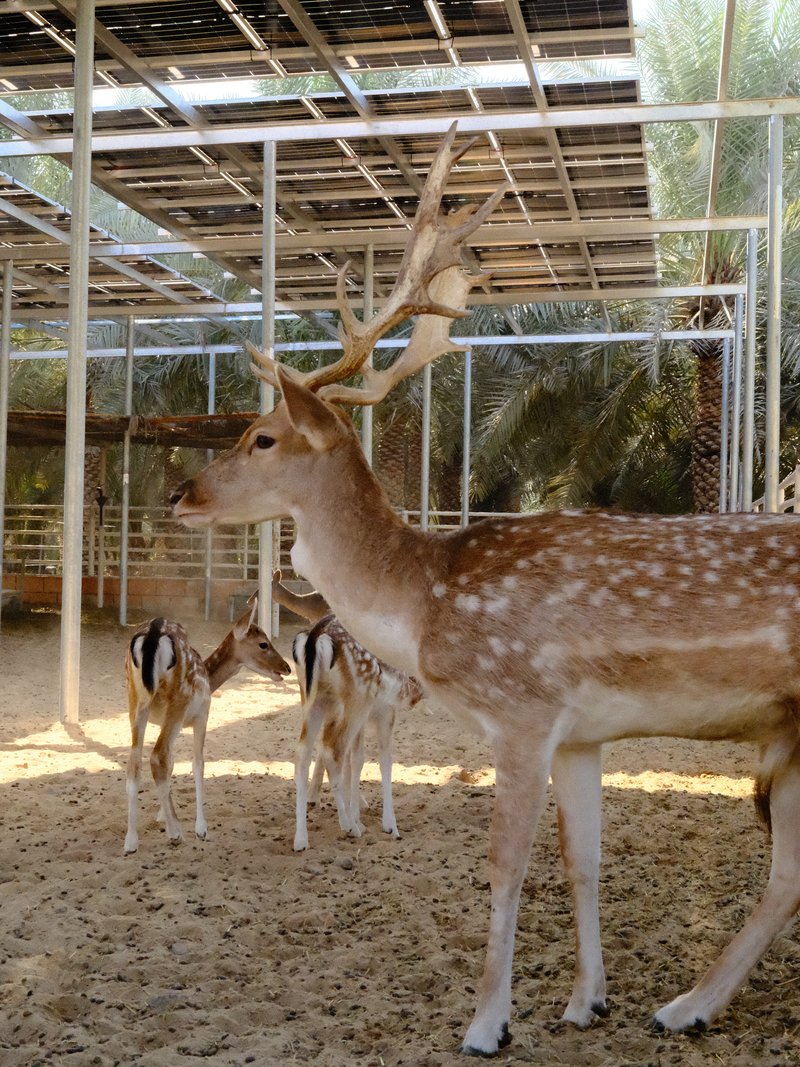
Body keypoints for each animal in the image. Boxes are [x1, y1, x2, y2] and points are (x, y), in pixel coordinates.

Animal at [124, 600, 291, 854]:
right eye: (263, 643)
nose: (287, 667)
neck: (210, 682)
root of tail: (154, 632)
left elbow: (172, 763)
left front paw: (162, 816)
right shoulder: (202, 714)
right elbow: (198, 764)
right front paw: (200, 829)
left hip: (135, 703)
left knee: (135, 762)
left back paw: (131, 841)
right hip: (178, 701)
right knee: (156, 756)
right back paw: (176, 833)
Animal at [271, 569, 423, 850]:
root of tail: (315, 636)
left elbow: (358, 758)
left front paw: (359, 810)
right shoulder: (384, 711)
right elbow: (384, 760)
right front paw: (389, 825)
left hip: (314, 699)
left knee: (303, 752)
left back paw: (301, 838)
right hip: (354, 699)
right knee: (332, 749)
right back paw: (349, 826)